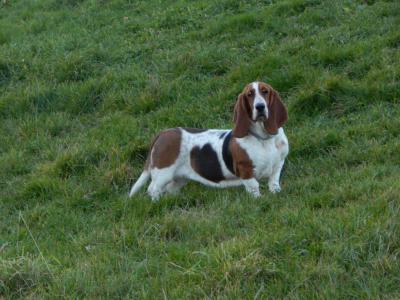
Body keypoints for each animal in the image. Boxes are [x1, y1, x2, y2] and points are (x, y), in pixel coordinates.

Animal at [130, 81, 290, 200]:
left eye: (265, 92)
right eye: (249, 95)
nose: (260, 107)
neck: (264, 139)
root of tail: (163, 133)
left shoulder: (278, 164)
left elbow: (274, 182)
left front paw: (276, 193)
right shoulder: (246, 171)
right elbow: (254, 187)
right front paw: (258, 200)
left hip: (179, 177)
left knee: (169, 189)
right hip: (163, 172)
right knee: (153, 188)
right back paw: (157, 202)